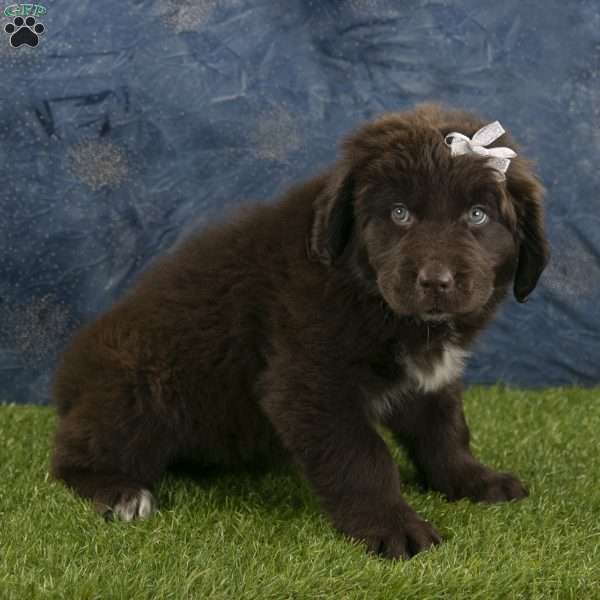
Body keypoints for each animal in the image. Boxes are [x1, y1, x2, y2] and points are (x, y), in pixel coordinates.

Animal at [51, 105, 548, 560]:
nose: (436, 281)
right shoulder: (311, 381)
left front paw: (473, 480)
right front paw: (391, 525)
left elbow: (445, 431)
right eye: (400, 213)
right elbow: (363, 455)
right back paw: (119, 492)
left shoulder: (430, 379)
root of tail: (71, 375)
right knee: (71, 455)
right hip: (144, 387)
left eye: (478, 215)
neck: (368, 294)